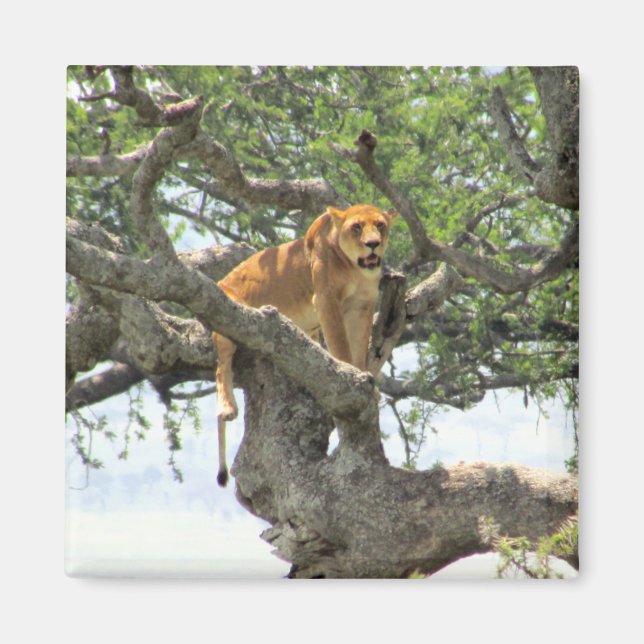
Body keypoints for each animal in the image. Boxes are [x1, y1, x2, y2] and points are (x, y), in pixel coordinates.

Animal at [212, 203, 398, 486]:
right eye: (356, 227)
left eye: (380, 225)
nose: (373, 244)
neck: (356, 269)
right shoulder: (325, 299)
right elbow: (341, 345)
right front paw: (350, 375)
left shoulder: (362, 306)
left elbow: (358, 349)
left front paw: (366, 381)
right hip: (227, 314)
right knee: (222, 367)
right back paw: (227, 408)